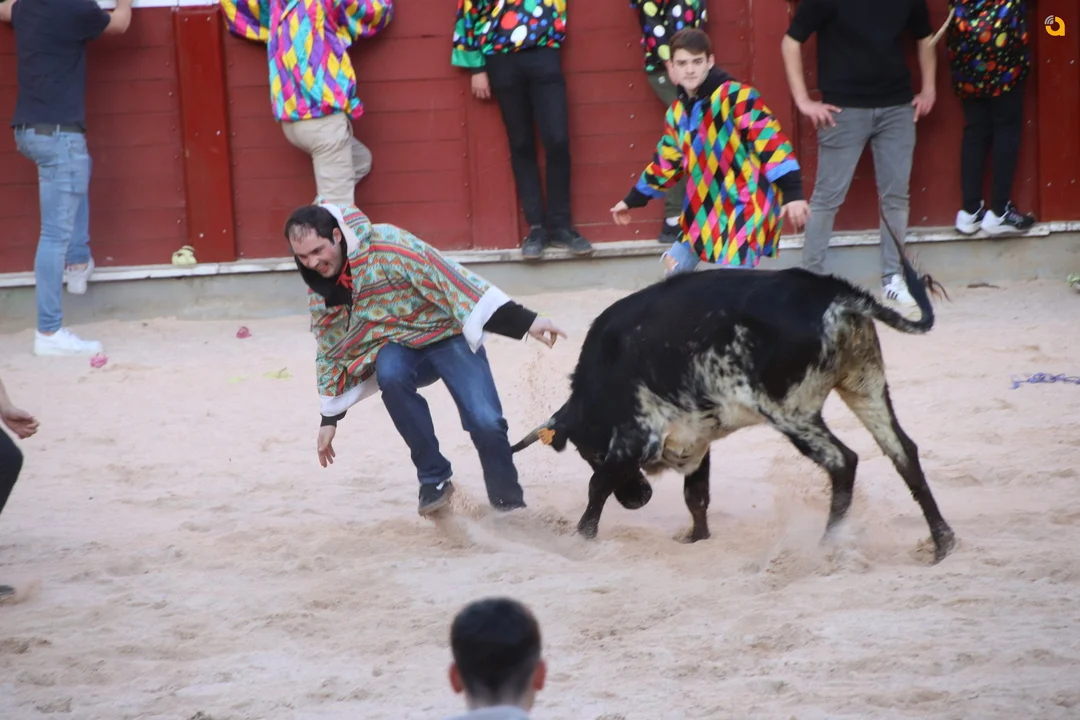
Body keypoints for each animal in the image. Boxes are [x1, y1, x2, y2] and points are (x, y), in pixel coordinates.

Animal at [510, 218, 956, 564]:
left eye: (590, 452)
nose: (638, 499)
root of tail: (838, 295)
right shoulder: (695, 438)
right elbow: (696, 495)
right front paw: (696, 540)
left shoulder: (635, 436)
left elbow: (598, 486)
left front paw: (582, 540)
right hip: (866, 386)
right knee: (903, 452)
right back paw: (942, 543)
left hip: (791, 412)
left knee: (843, 461)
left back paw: (827, 545)